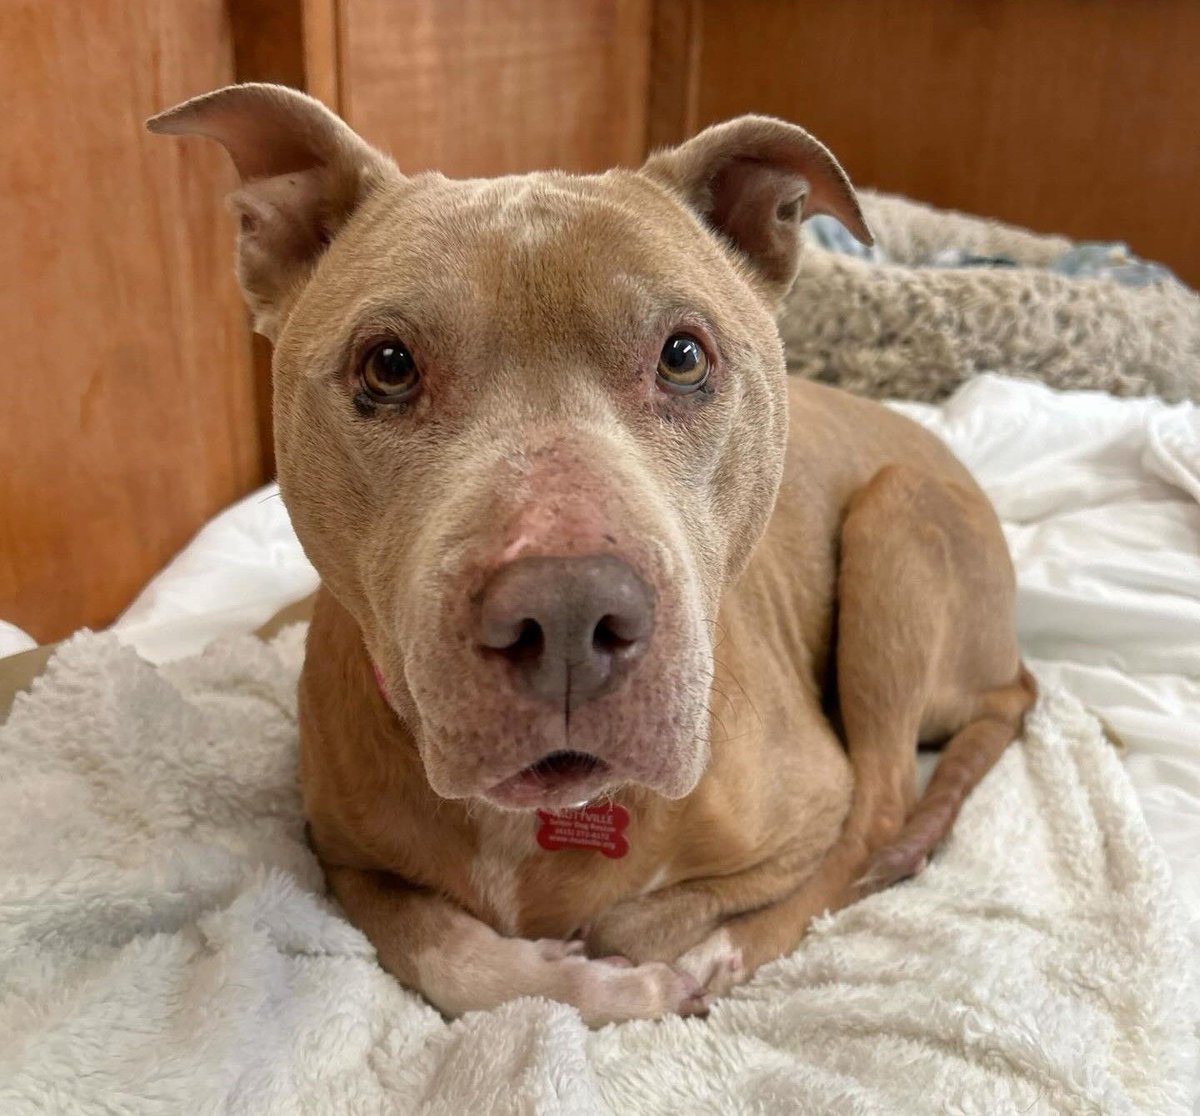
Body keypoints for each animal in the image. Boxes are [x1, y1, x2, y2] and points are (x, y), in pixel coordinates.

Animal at [147, 84, 1032, 1027]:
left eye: (683, 355)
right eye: (386, 365)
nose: (568, 613)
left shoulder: (808, 807)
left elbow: (660, 912)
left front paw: (639, 960)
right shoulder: (345, 861)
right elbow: (449, 956)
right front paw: (579, 976)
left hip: (894, 523)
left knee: (882, 815)